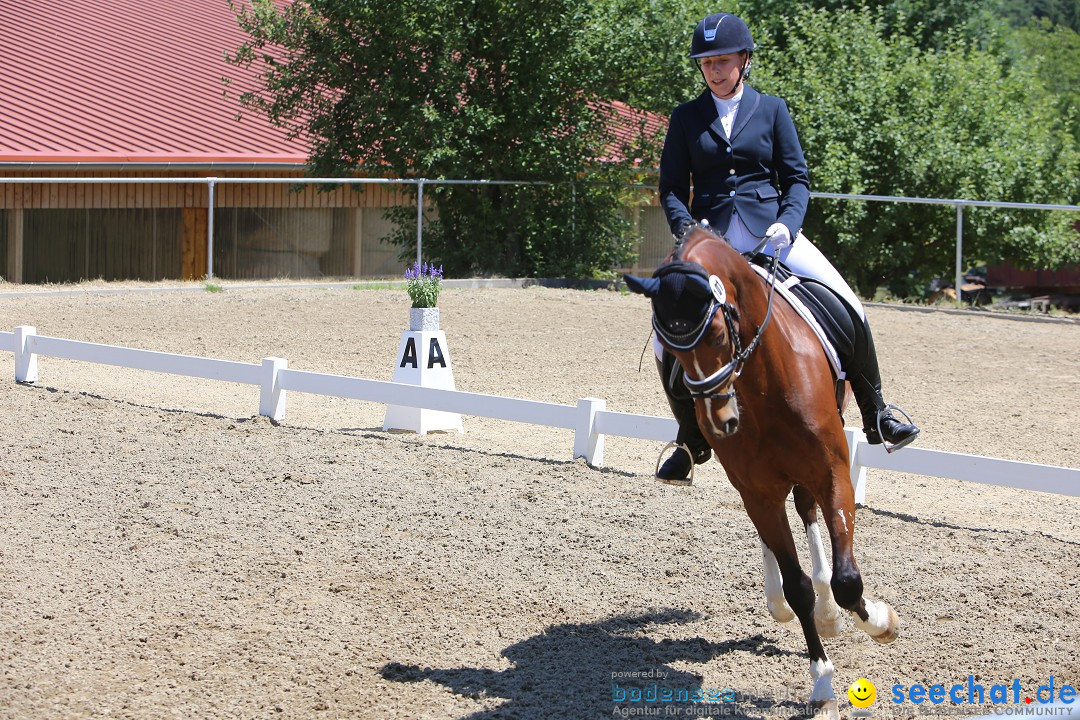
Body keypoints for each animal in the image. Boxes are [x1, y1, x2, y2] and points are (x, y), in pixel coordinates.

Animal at [622, 225, 898, 720]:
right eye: (670, 348)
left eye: (717, 333)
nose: (720, 421)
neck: (763, 382)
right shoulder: (758, 490)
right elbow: (796, 585)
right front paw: (822, 683)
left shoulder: (832, 472)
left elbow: (848, 581)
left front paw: (880, 622)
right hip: (757, 487)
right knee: (775, 536)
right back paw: (787, 605)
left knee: (808, 513)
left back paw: (831, 613)